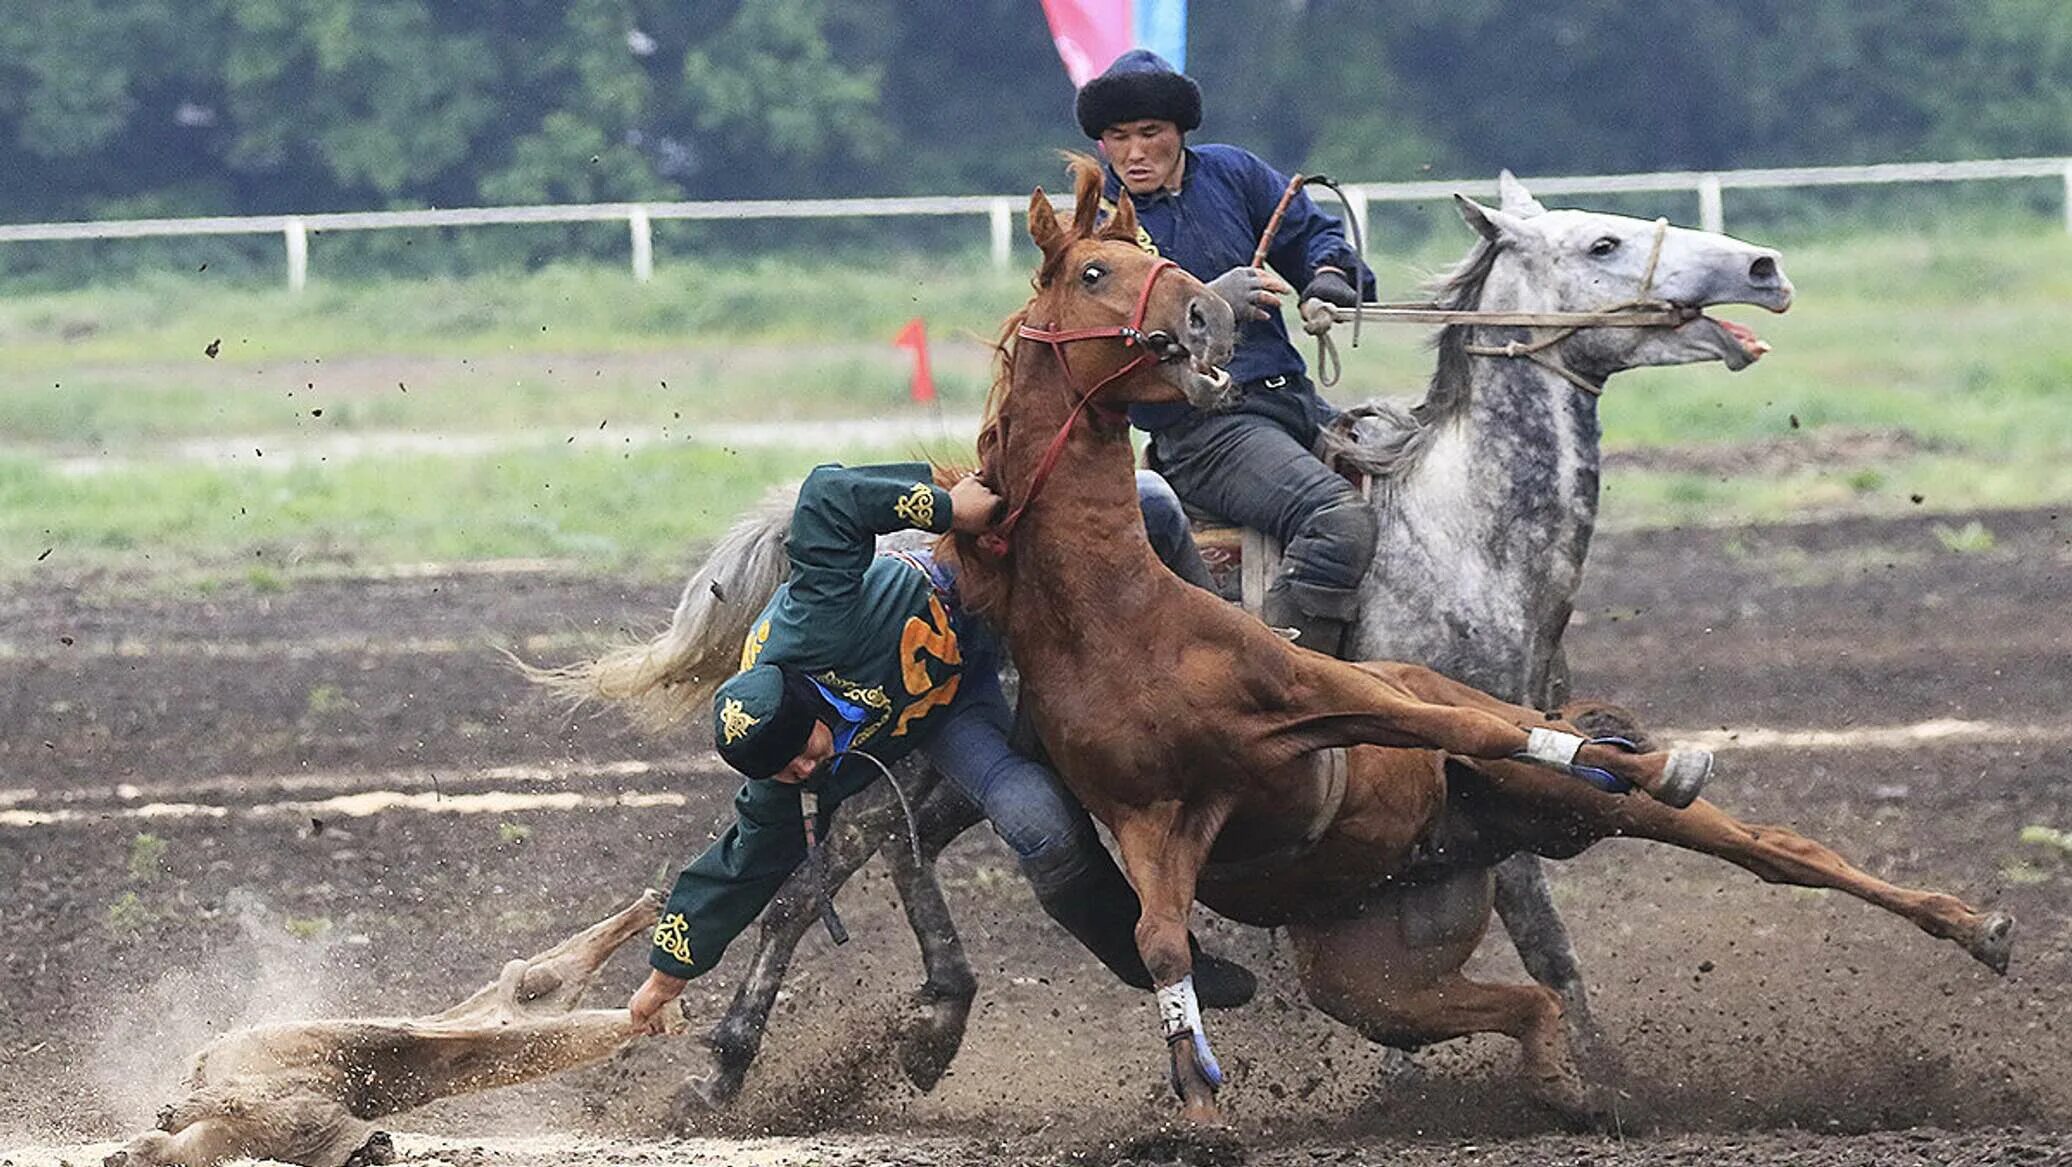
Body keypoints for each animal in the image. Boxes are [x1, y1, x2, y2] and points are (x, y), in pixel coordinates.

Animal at [551, 173, 1798, 1111]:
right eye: (1602, 239)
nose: (1761, 268)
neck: (1454, 529)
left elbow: (1538, 923)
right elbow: (1533, 932)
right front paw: (1563, 1070)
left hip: (959, 761)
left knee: (886, 856)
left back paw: (920, 1023)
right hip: (911, 752)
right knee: (818, 874)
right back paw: (732, 1065)